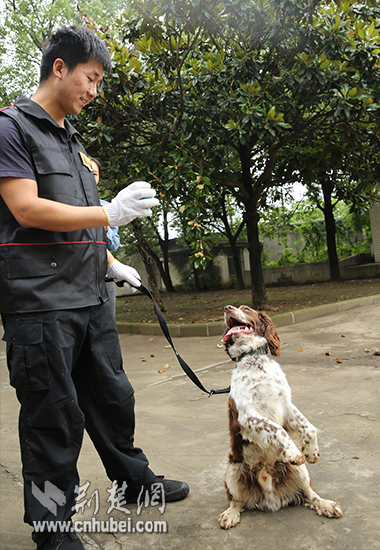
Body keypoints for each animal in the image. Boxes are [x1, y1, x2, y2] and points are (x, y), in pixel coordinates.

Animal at [218, 306, 342, 532]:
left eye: (246, 309)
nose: (227, 308)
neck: (254, 362)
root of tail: (271, 499)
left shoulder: (286, 405)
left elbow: (309, 427)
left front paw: (311, 452)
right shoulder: (247, 415)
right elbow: (277, 430)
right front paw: (294, 452)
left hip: (300, 471)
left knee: (309, 494)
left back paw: (326, 505)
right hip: (233, 470)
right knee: (237, 501)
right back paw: (229, 515)